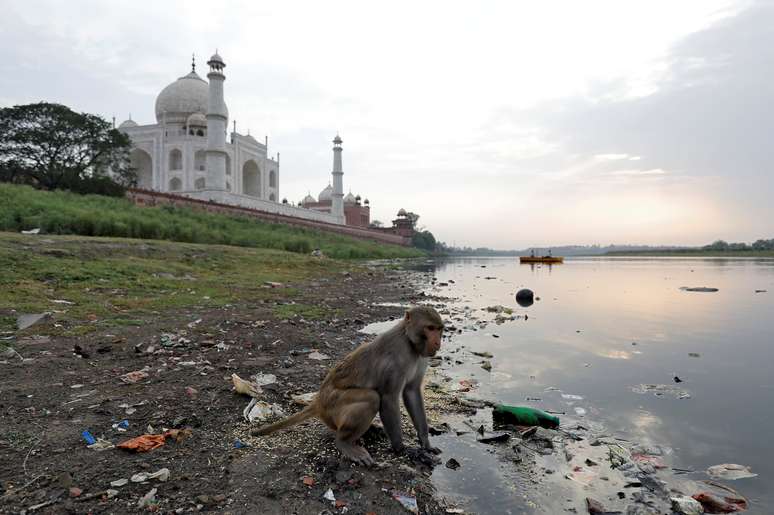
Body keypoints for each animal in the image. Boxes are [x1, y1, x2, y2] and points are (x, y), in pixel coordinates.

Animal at [253, 306, 448, 468]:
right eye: (430, 328)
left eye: (439, 329)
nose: (438, 343)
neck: (410, 343)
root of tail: (318, 401)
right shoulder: (395, 360)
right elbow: (388, 398)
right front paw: (402, 448)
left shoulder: (422, 357)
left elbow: (412, 392)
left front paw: (425, 442)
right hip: (332, 406)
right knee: (372, 398)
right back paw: (344, 442)